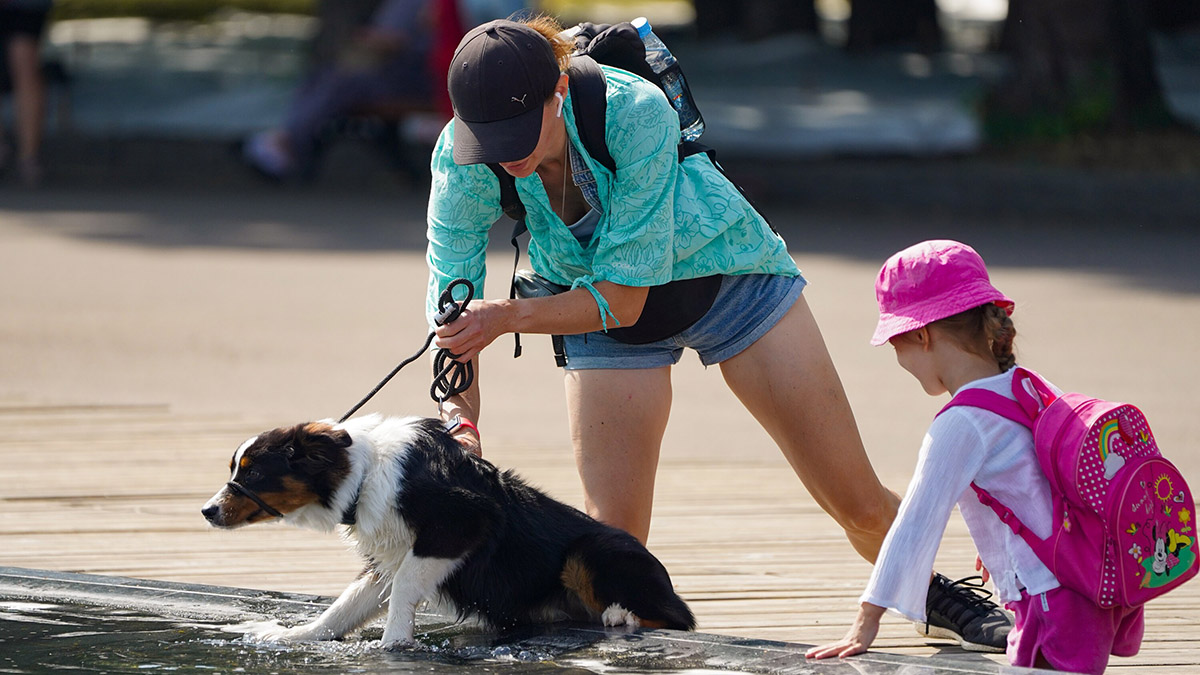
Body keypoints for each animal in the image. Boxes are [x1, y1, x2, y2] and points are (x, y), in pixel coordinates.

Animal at [201, 413, 696, 643]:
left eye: (252, 473)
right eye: (236, 468)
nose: (207, 511)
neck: (362, 474)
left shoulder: (463, 521)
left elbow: (403, 586)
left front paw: (394, 645)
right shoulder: (387, 553)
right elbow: (343, 607)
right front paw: (295, 636)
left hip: (590, 551)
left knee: (680, 618)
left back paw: (621, 615)